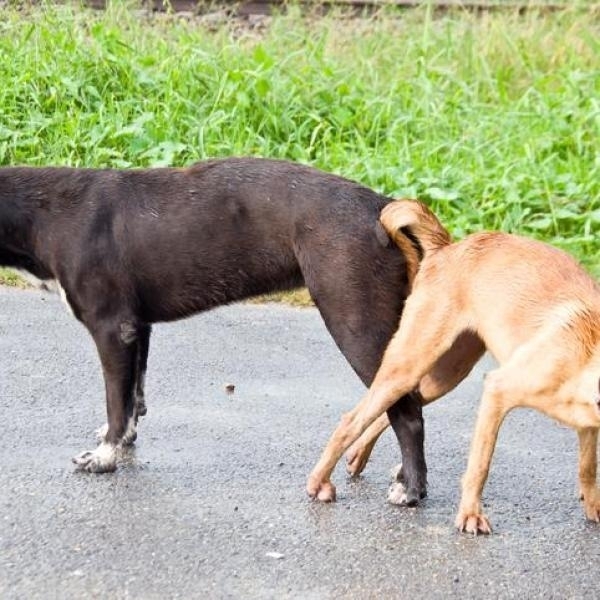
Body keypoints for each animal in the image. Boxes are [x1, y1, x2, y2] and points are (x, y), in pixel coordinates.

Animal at [1, 157, 426, 504]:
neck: (45, 214)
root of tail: (379, 208)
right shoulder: (137, 329)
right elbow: (132, 397)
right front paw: (123, 442)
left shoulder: (111, 329)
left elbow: (115, 401)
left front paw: (104, 457)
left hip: (356, 325)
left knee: (407, 412)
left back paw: (411, 489)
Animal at [310, 202, 600, 536]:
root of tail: (447, 247)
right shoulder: (498, 390)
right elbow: (480, 465)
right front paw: (470, 514)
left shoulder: (587, 426)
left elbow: (588, 468)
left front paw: (594, 507)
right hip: (410, 363)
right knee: (353, 419)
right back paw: (319, 481)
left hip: (442, 376)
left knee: (401, 406)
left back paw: (359, 455)